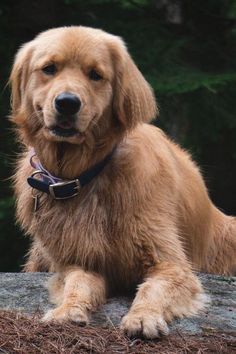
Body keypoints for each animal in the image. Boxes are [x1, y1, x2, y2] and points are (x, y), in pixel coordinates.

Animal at [9, 25, 236, 338]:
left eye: (95, 74)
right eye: (49, 69)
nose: (67, 103)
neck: (82, 174)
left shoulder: (170, 262)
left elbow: (154, 288)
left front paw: (143, 317)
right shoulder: (78, 261)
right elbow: (77, 283)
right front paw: (68, 311)